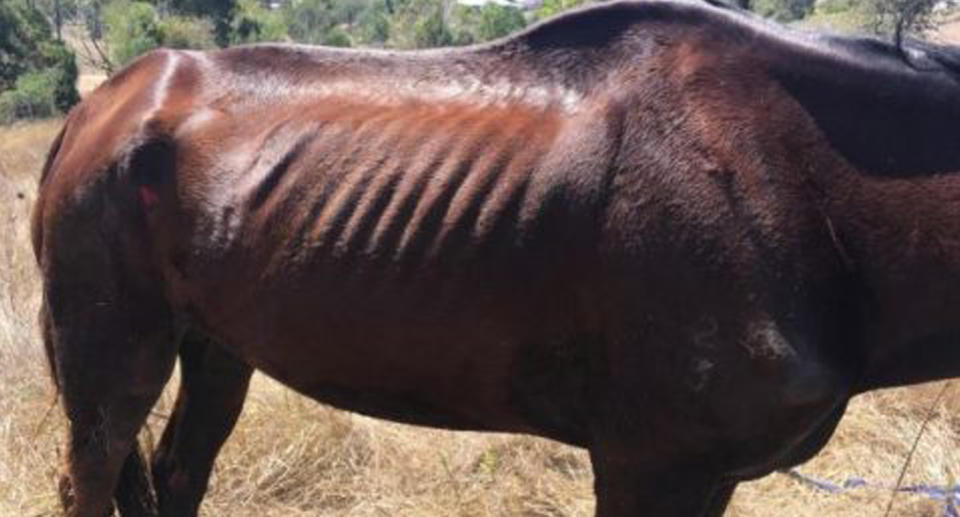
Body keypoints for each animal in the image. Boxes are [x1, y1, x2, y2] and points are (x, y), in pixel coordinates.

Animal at [30, 1, 960, 512]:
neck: (796, 178)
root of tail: (99, 110)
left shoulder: (709, 472)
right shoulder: (649, 464)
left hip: (217, 345)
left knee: (178, 475)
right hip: (111, 351)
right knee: (92, 479)